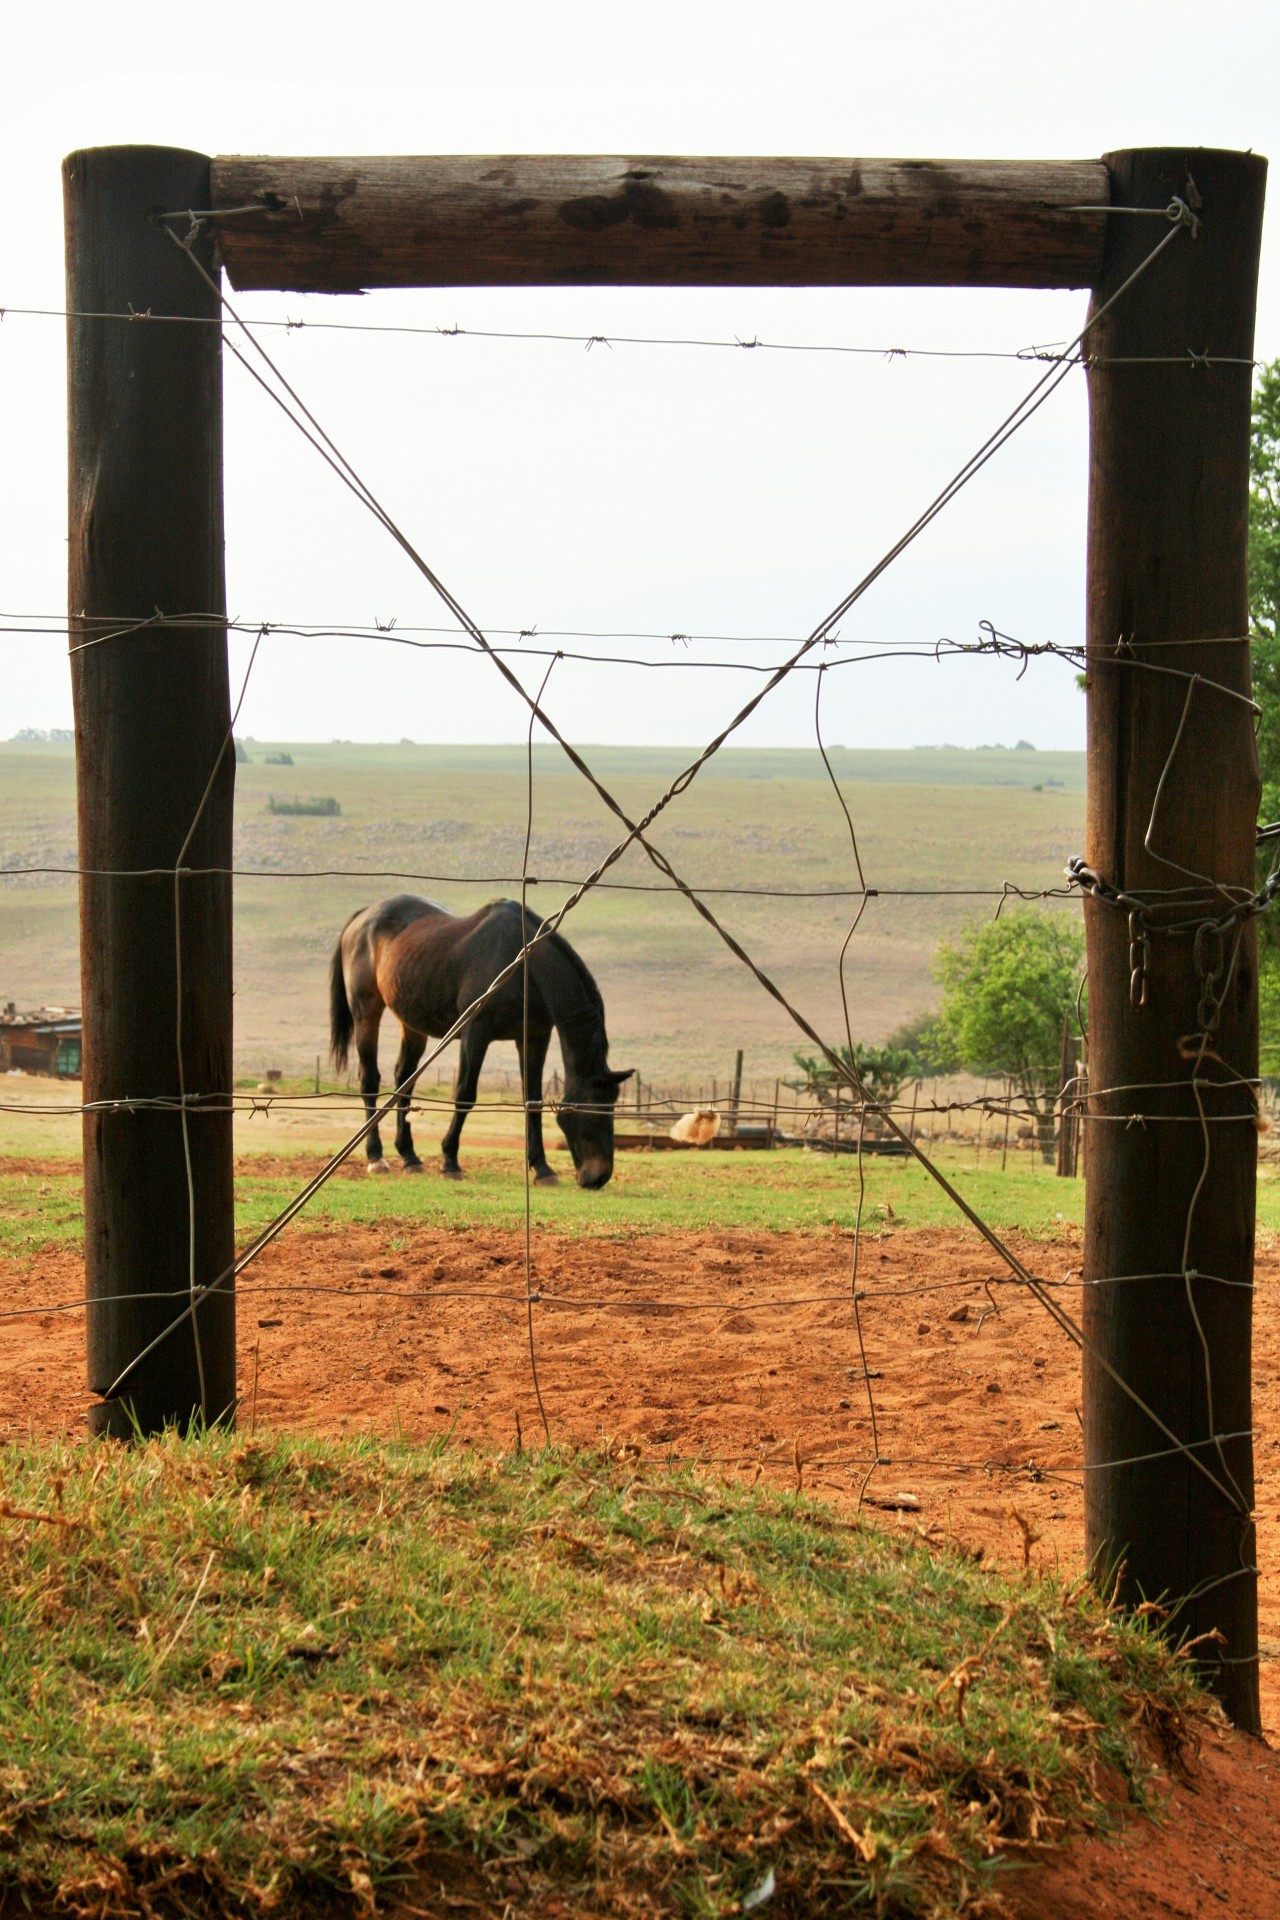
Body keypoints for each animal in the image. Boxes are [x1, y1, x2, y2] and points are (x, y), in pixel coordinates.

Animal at [328, 894, 633, 1182]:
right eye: (594, 1108)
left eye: (613, 1105)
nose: (599, 1176)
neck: (523, 964)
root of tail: (362, 916)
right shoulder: (476, 1033)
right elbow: (464, 1094)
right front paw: (450, 1161)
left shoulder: (534, 1037)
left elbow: (532, 1099)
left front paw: (542, 1168)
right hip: (366, 1011)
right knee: (370, 1078)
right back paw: (376, 1157)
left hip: (411, 1022)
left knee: (404, 1078)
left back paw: (410, 1156)